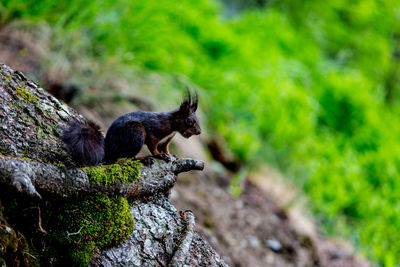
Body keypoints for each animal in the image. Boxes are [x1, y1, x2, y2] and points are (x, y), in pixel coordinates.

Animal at [63, 92, 202, 168]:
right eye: (189, 121)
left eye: (198, 120)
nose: (199, 132)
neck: (173, 125)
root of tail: (108, 151)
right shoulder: (155, 130)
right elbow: (153, 145)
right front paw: (159, 155)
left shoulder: (167, 140)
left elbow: (165, 147)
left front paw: (170, 154)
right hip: (136, 132)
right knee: (124, 158)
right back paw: (143, 159)